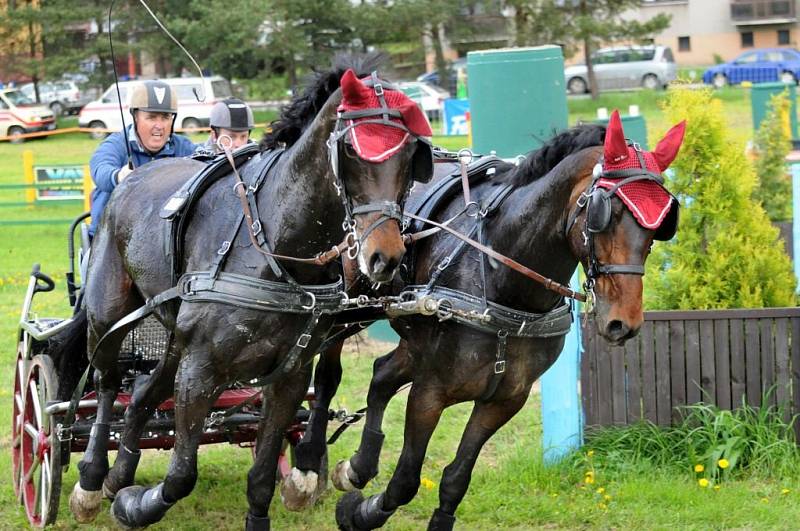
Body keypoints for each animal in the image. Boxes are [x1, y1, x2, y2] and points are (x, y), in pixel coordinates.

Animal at [65, 56, 434, 528]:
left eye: (409, 155)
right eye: (352, 150)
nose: (384, 257)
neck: (277, 246)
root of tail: (132, 176)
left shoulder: (289, 374)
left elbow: (260, 473)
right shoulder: (201, 369)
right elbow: (180, 475)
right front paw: (138, 504)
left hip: (174, 343)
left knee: (143, 396)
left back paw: (119, 474)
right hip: (108, 316)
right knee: (108, 383)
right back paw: (94, 480)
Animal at [300, 111, 680, 528]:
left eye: (662, 225)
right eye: (603, 215)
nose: (622, 323)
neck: (499, 275)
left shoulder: (504, 399)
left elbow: (455, 480)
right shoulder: (430, 391)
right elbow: (405, 480)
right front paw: (360, 512)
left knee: (382, 374)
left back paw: (359, 465)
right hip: (348, 306)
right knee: (328, 375)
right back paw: (307, 461)